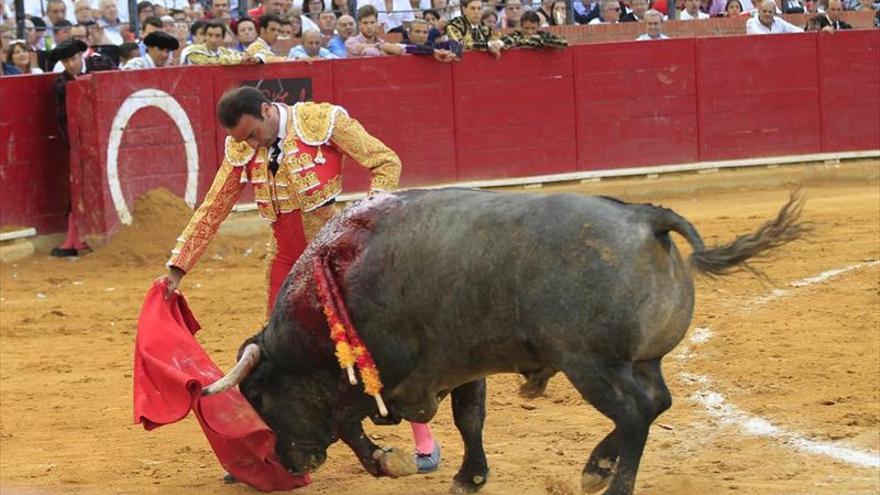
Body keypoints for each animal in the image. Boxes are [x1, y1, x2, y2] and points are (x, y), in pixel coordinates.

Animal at [203, 190, 808, 495]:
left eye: (258, 399)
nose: (286, 463)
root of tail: (645, 218)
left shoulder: (385, 370)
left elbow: (349, 421)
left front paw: (387, 462)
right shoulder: (461, 365)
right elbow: (470, 418)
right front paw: (470, 478)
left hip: (591, 364)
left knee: (635, 414)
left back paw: (608, 482)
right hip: (642, 360)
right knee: (657, 403)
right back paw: (598, 467)